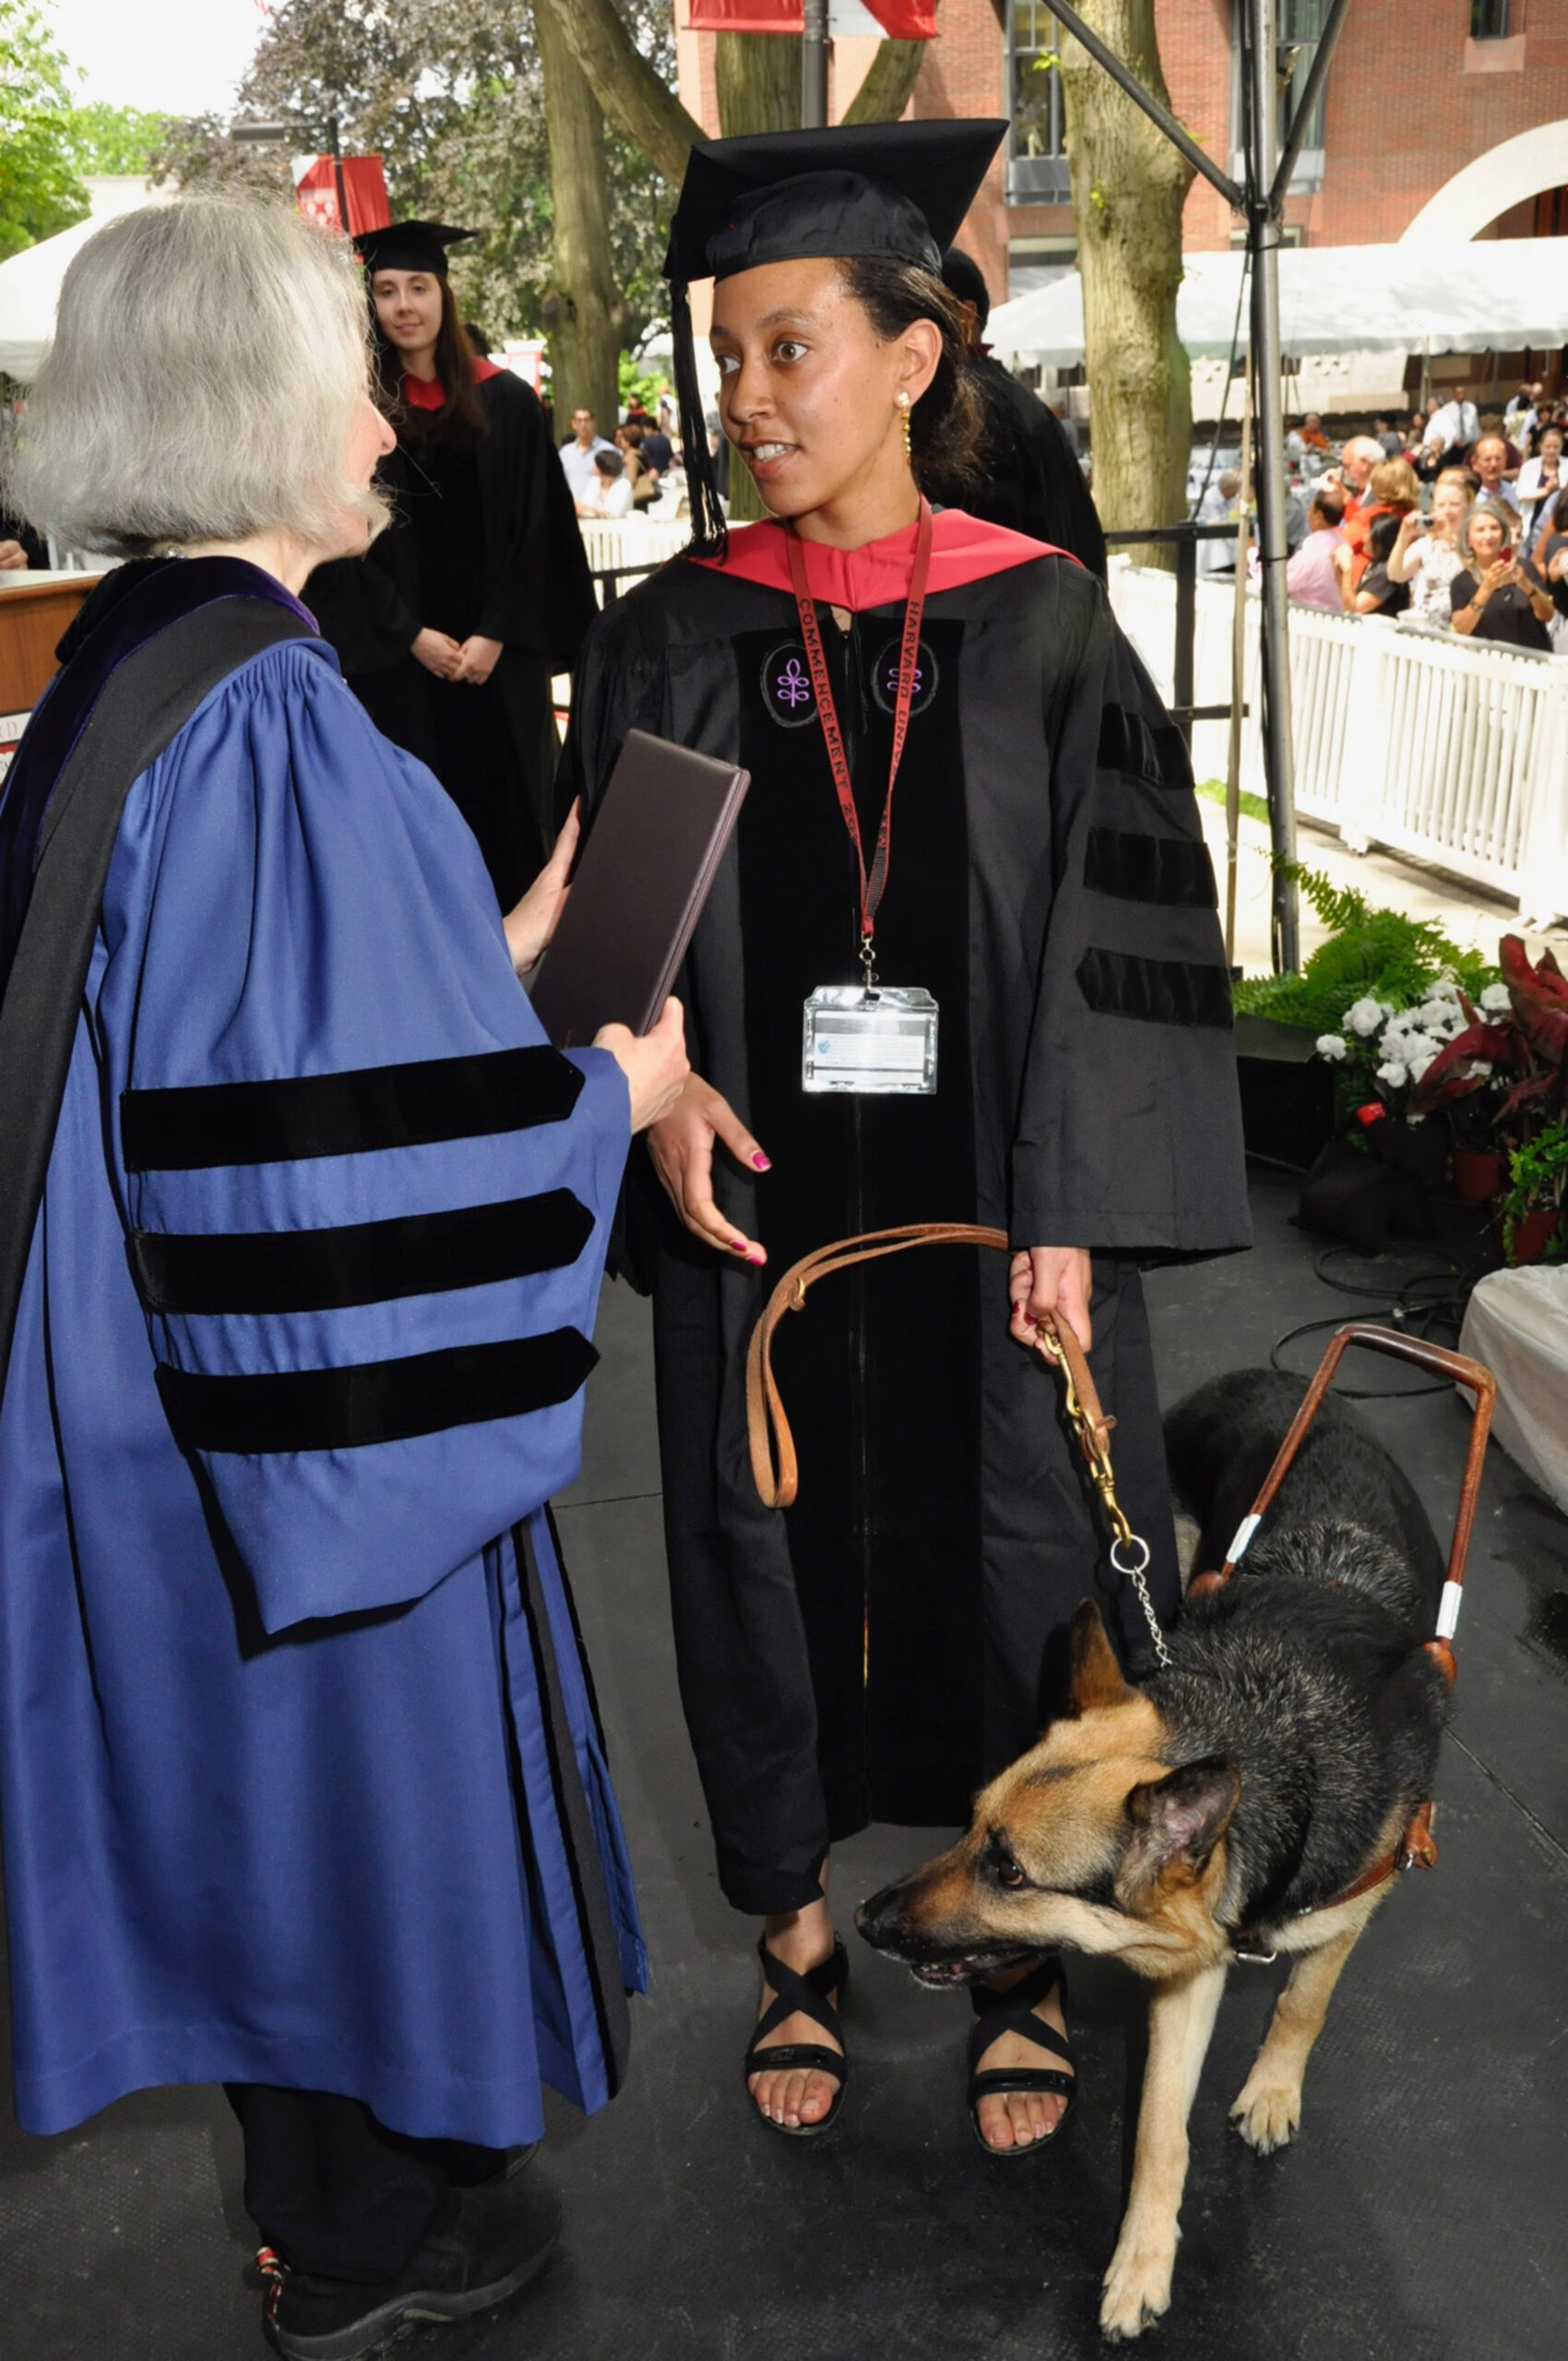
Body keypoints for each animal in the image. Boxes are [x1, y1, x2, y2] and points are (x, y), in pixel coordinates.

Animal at [859, 1369, 1444, 2342]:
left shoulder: (1342, 1918)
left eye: (1009, 1871)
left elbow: (1304, 2005)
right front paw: (1142, 2263)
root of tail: (1275, 1376)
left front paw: (1274, 2090)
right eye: (970, 1827)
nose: (867, 1921)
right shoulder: (1188, 1972)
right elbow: (1159, 2134)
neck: (1267, 1735)